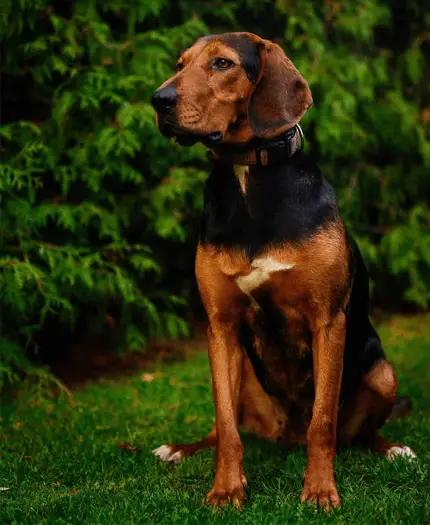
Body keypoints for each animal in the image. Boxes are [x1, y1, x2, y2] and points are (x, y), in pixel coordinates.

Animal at [149, 31, 414, 508]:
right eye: (180, 64)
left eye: (222, 63)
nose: (158, 99)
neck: (249, 177)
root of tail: (284, 435)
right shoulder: (220, 326)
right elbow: (228, 429)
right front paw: (226, 489)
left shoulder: (327, 322)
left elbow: (323, 422)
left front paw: (321, 490)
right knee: (223, 426)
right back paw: (179, 449)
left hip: (383, 373)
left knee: (359, 433)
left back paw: (391, 449)